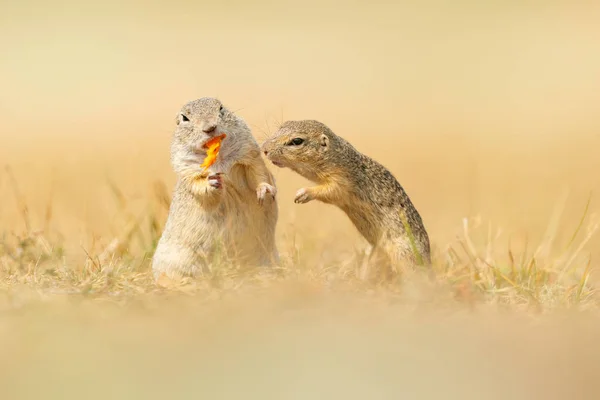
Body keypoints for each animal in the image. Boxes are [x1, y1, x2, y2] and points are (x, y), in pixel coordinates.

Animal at [152, 97, 278, 280]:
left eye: (221, 108)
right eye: (184, 118)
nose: (210, 128)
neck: (219, 157)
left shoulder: (249, 154)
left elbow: (258, 173)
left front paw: (265, 190)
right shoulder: (186, 169)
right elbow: (198, 186)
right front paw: (212, 182)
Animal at [260, 119, 428, 276]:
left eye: (296, 141)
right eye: (282, 125)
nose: (264, 149)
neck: (337, 155)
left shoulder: (342, 180)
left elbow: (330, 191)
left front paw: (304, 193)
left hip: (403, 254)